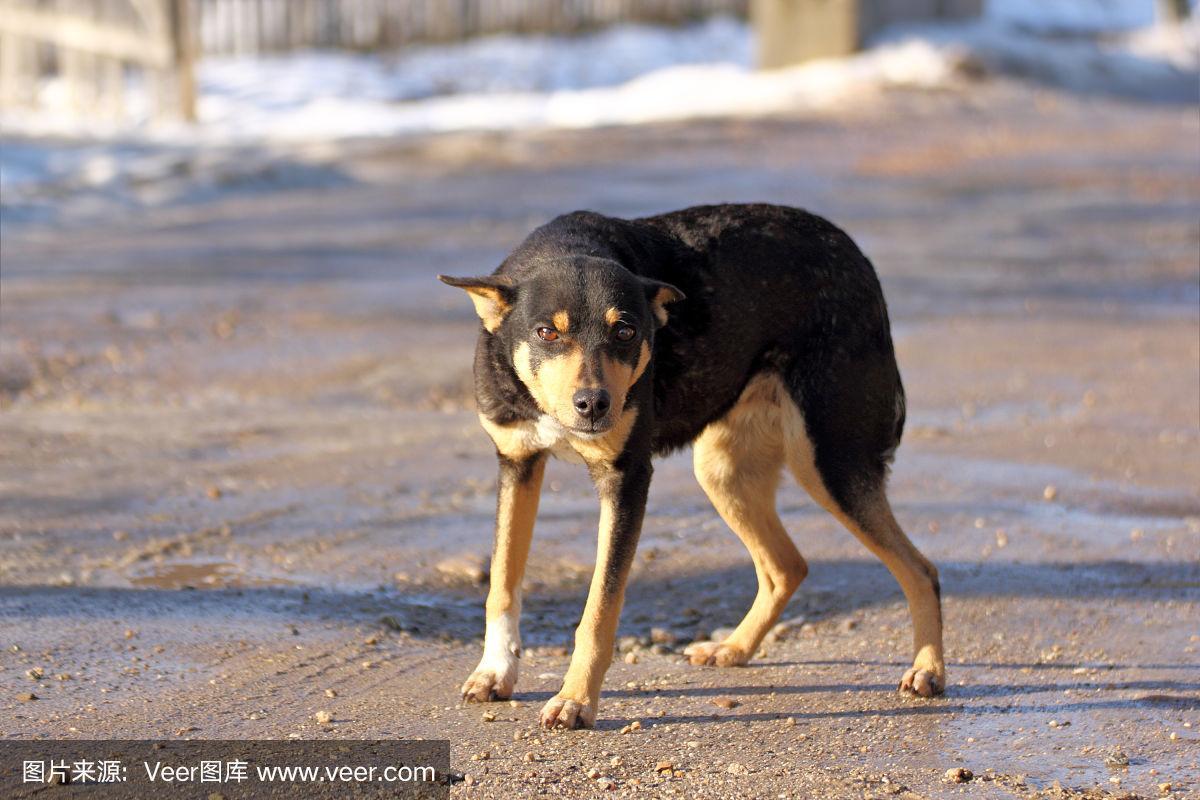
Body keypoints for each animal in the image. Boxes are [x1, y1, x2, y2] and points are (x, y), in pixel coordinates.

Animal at [441, 203, 945, 729]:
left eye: (626, 331)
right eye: (546, 332)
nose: (594, 405)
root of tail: (856, 256)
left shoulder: (626, 478)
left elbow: (599, 609)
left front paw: (575, 700)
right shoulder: (516, 463)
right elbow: (503, 580)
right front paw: (495, 672)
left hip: (829, 463)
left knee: (920, 569)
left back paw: (927, 671)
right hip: (724, 471)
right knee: (788, 566)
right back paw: (734, 648)